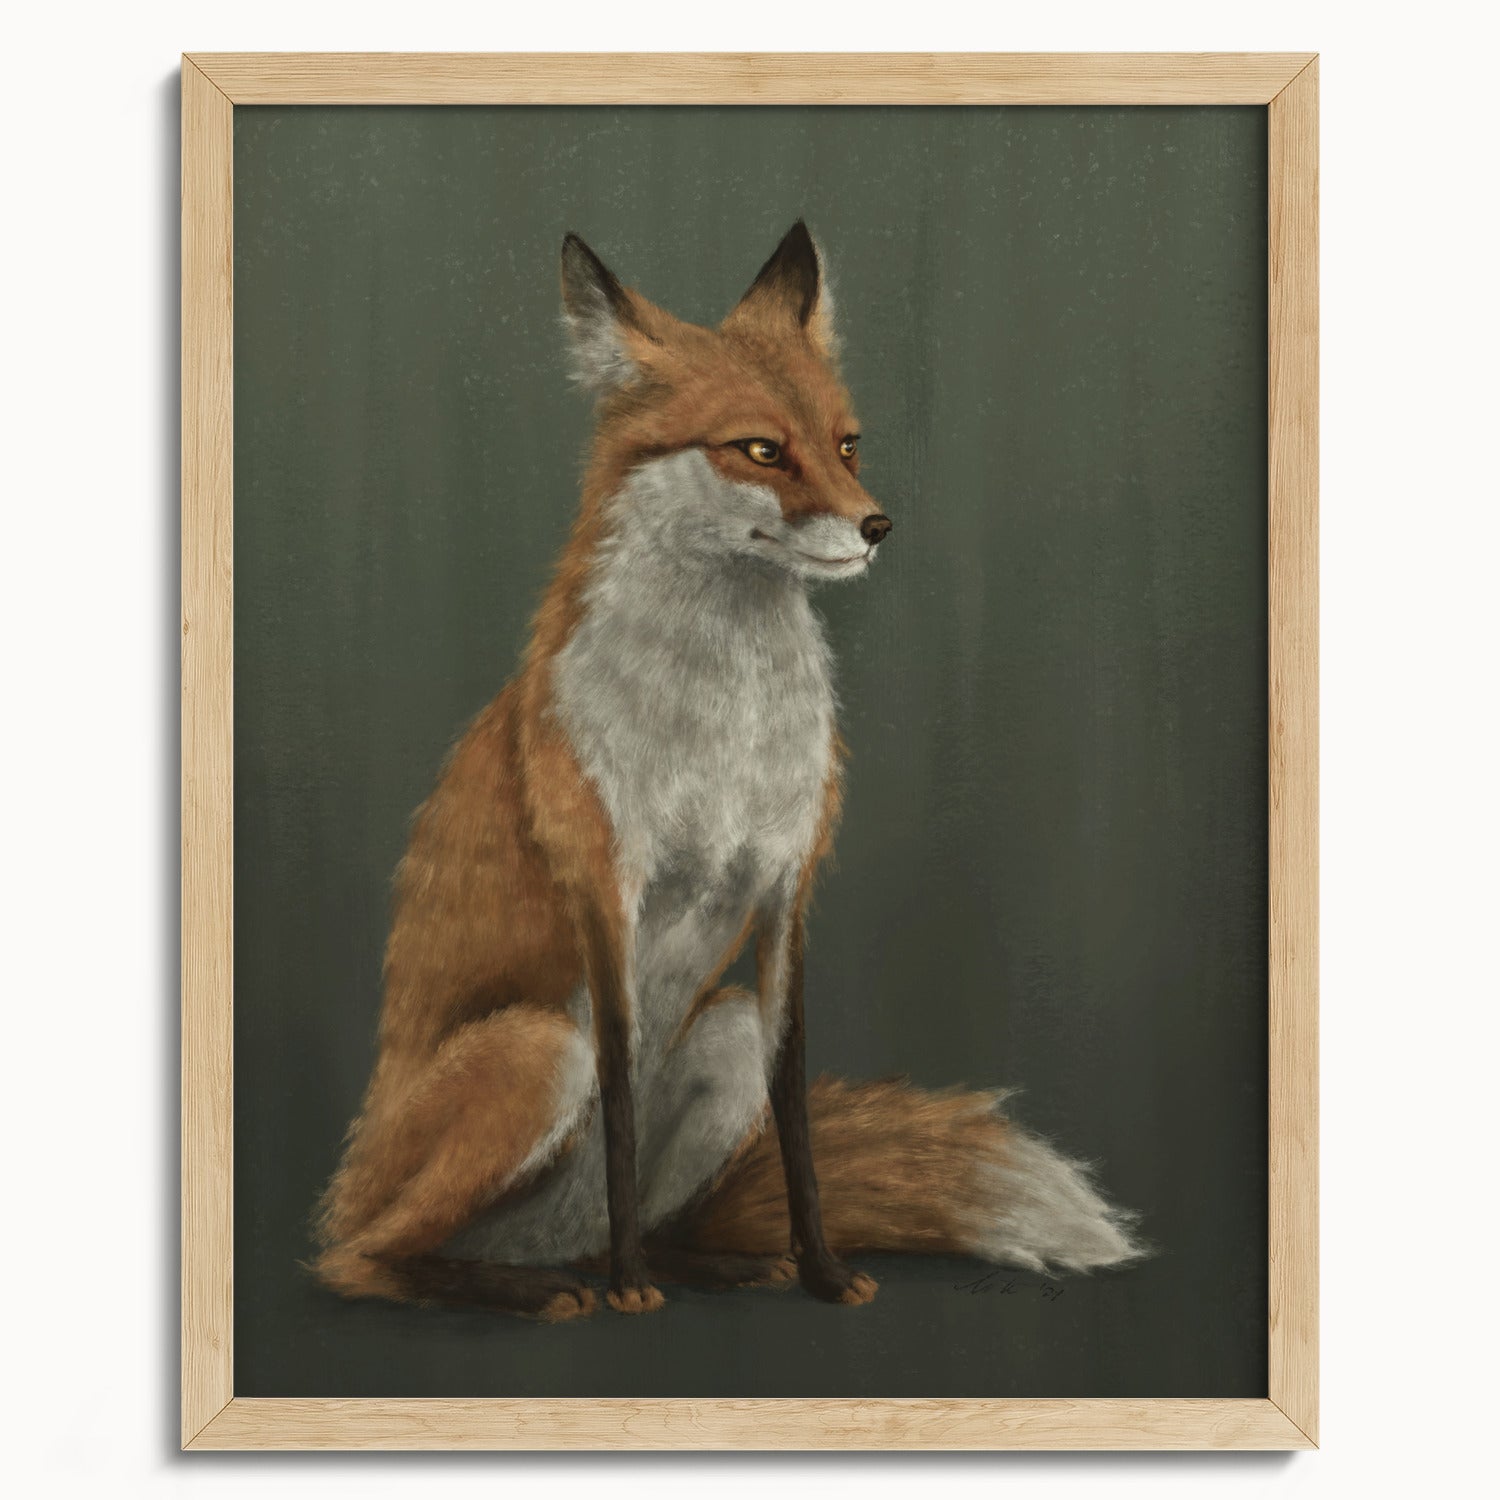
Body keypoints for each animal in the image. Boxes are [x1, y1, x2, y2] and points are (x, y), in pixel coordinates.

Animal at [313, 222, 1143, 1321]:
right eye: (760, 449)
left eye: (847, 444)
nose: (878, 526)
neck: (726, 731)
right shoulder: (606, 890)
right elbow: (621, 1099)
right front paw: (630, 1292)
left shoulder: (787, 888)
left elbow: (794, 1113)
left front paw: (822, 1271)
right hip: (536, 1051)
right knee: (362, 1259)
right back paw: (542, 1286)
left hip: (723, 1034)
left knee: (646, 1215)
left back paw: (705, 1263)